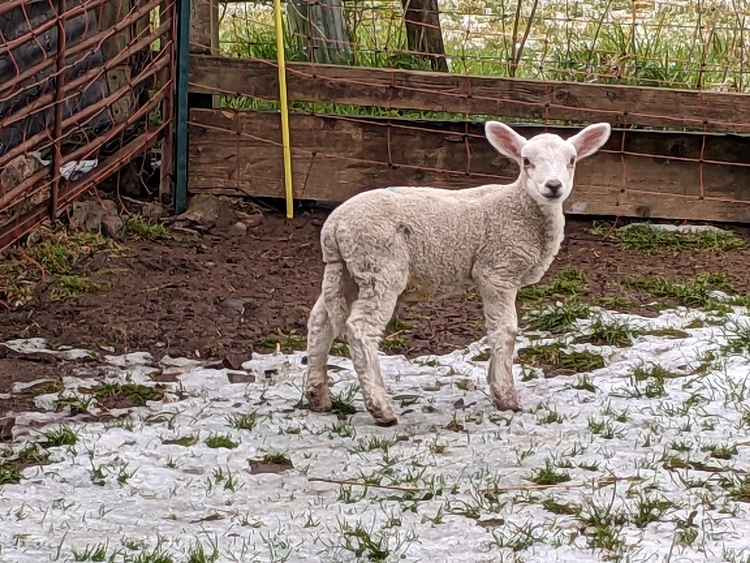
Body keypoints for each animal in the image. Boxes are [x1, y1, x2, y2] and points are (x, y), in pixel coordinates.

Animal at [304, 121, 612, 426]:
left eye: (571, 160)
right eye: (526, 161)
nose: (553, 186)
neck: (520, 207)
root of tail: (334, 226)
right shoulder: (496, 270)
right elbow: (505, 331)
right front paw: (506, 397)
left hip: (346, 270)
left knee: (320, 321)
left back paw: (318, 396)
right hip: (379, 265)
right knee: (361, 329)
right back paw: (381, 408)